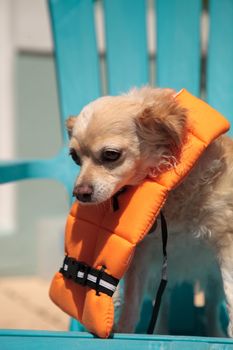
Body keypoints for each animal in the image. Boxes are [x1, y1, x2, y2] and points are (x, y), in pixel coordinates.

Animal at [65, 87, 233, 336]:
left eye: (111, 155)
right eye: (75, 158)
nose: (80, 193)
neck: (174, 193)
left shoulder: (226, 241)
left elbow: (230, 295)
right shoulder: (141, 256)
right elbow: (131, 305)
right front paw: (125, 331)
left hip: (211, 277)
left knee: (211, 307)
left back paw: (215, 334)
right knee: (162, 308)